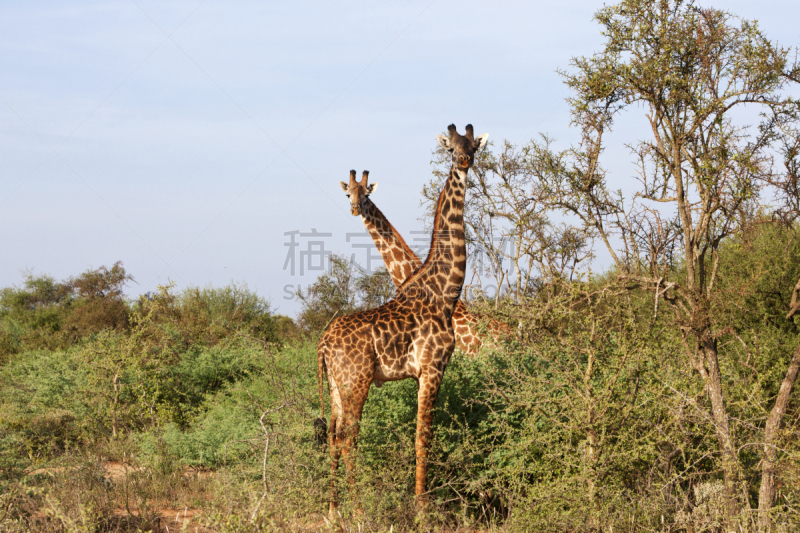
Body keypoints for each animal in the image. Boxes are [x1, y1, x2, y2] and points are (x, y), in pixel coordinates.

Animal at [318, 124, 488, 516]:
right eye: (451, 148)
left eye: (473, 146)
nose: (464, 162)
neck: (445, 291)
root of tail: (322, 344)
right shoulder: (432, 368)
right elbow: (422, 437)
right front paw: (422, 508)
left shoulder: (424, 373)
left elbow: (422, 435)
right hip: (357, 381)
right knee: (349, 437)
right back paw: (359, 511)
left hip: (336, 384)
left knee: (334, 435)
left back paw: (334, 511)